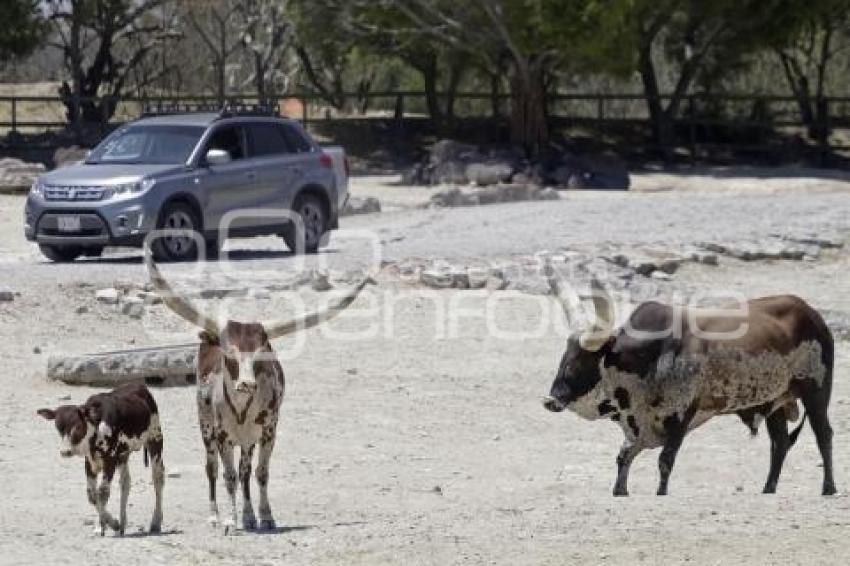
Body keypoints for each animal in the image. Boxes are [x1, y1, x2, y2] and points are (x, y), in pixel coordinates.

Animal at [35, 386, 164, 536]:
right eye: (58, 428)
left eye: (77, 427)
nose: (65, 452)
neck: (96, 427)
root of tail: (140, 387)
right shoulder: (90, 462)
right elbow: (92, 495)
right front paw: (104, 525)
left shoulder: (110, 461)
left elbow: (103, 492)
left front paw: (110, 524)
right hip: (123, 454)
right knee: (125, 482)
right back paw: (122, 524)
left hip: (155, 438)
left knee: (158, 477)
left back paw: (155, 522)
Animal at [540, 268, 832, 500]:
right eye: (564, 358)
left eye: (579, 362)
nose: (550, 400)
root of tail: (810, 312)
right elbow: (624, 457)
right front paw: (620, 490)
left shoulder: (682, 416)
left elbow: (665, 461)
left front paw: (661, 493)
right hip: (775, 402)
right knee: (780, 443)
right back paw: (768, 489)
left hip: (817, 390)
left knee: (823, 434)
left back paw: (828, 487)